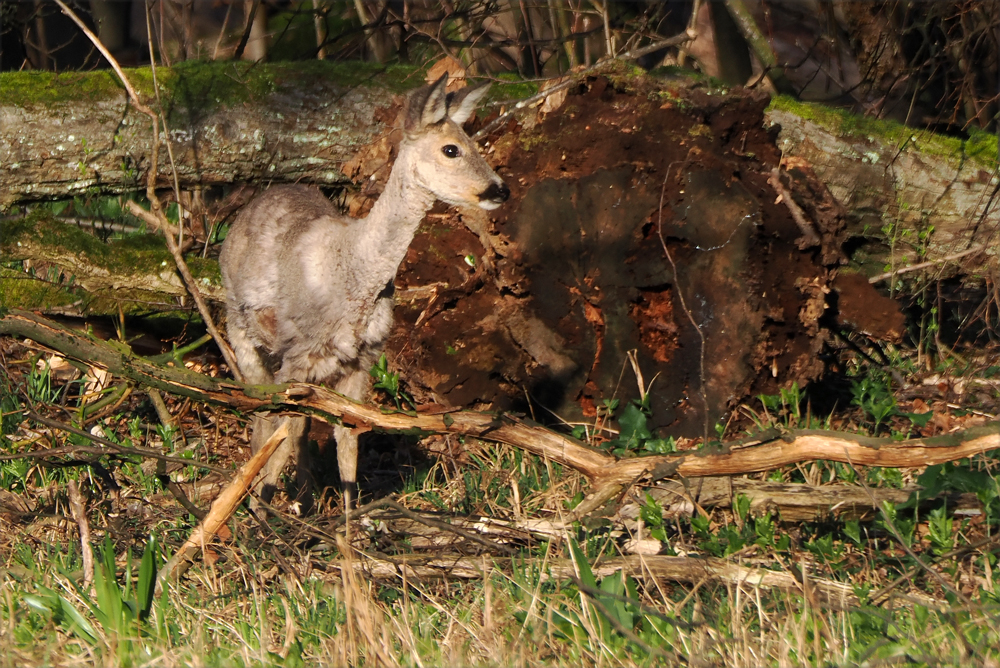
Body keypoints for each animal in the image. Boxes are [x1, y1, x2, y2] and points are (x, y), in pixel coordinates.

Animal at [223, 74, 512, 506]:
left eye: (474, 142)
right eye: (451, 149)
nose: (500, 190)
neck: (354, 276)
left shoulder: (362, 359)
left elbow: (346, 444)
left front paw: (348, 519)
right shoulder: (297, 353)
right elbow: (281, 436)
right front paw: (264, 511)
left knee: (296, 427)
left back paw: (299, 497)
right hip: (239, 327)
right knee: (262, 417)